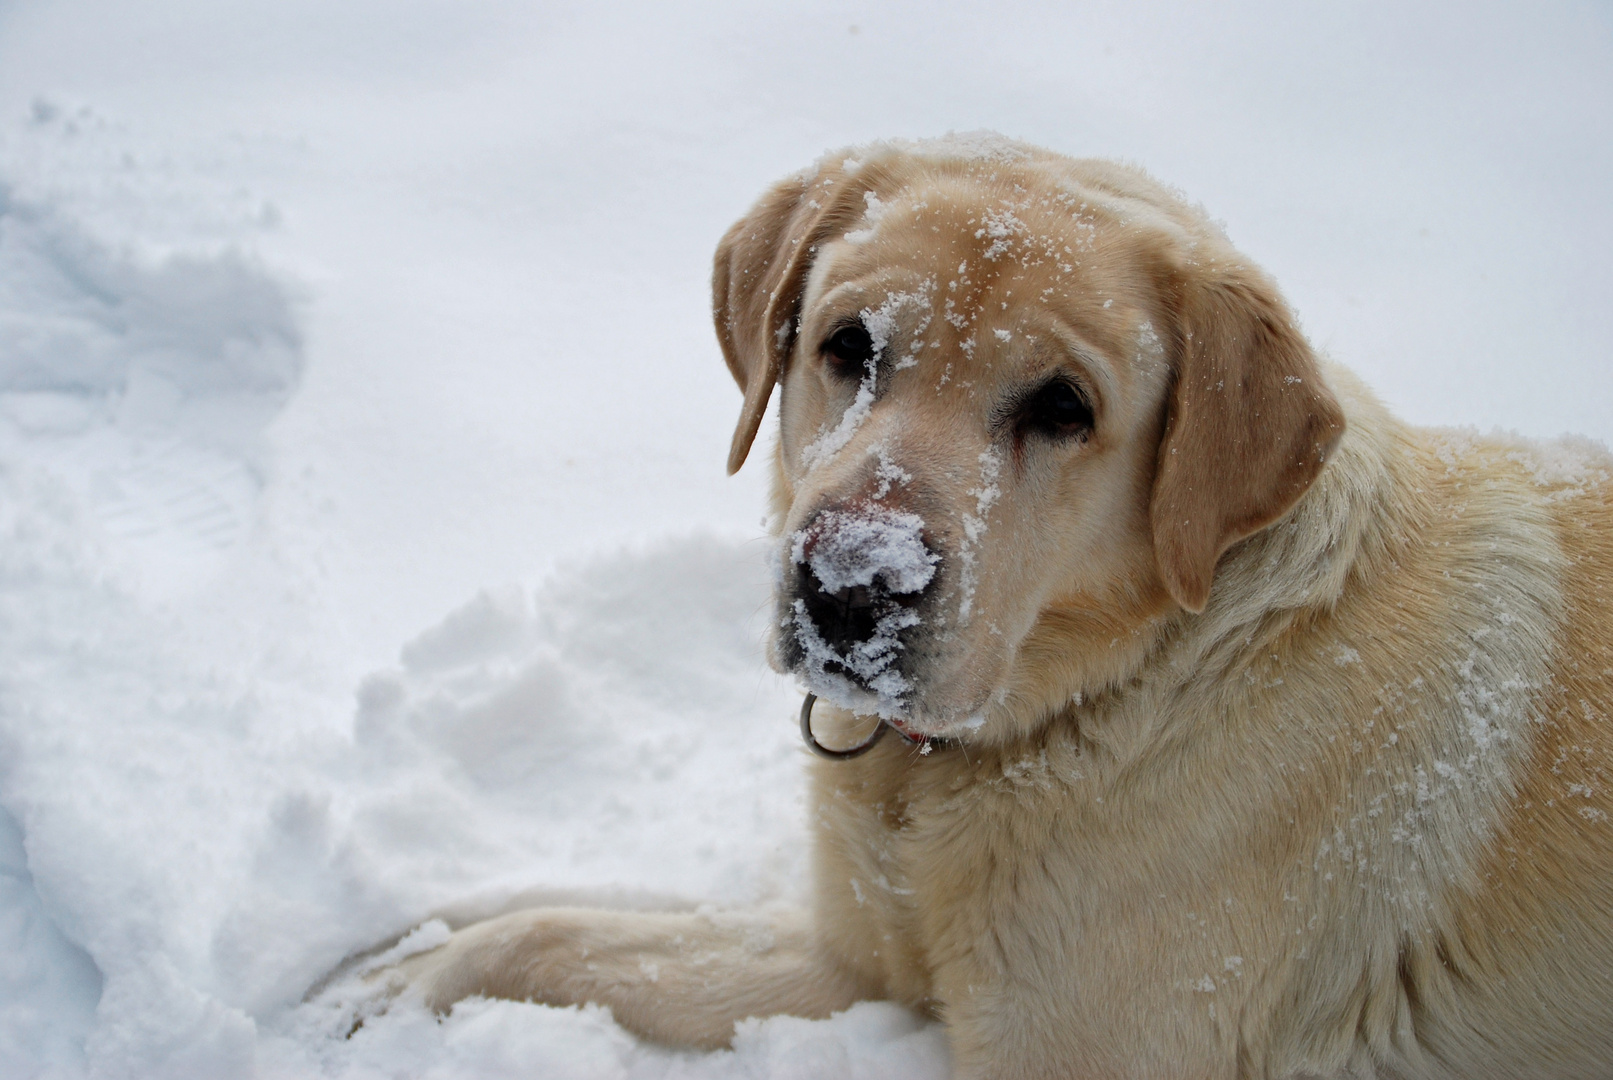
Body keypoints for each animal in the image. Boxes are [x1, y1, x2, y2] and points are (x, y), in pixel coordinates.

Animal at [366, 137, 1613, 1080]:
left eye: (1062, 406)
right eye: (847, 345)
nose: (850, 589)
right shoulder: (861, 958)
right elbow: (564, 928)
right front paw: (389, 972)